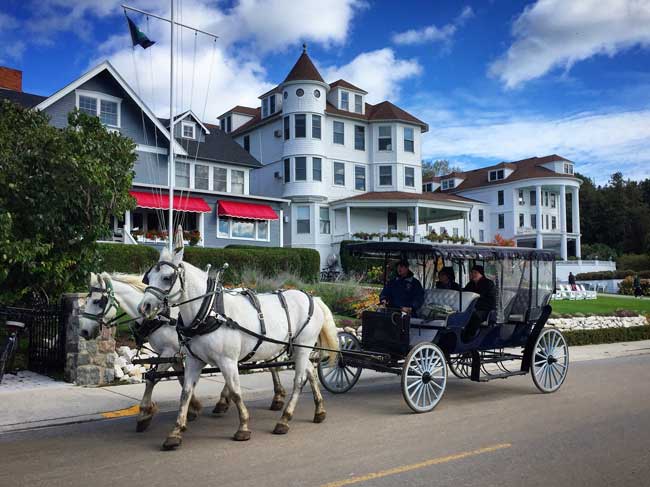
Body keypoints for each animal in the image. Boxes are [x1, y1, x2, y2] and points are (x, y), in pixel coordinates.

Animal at [78, 272, 286, 432]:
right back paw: (228, 401)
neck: (160, 316)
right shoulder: (175, 354)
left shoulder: (169, 350)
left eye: (97, 301)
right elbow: (181, 379)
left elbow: (152, 378)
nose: (83, 332)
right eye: (86, 300)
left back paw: (275, 397)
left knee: (268, 364)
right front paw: (193, 408)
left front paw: (145, 414)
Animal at [137, 246, 340, 452]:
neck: (209, 312)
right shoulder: (194, 360)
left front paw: (243, 426)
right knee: (310, 372)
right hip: (300, 349)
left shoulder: (227, 360)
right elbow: (185, 392)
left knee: (299, 380)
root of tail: (312, 297)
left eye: (167, 277)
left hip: (303, 346)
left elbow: (235, 391)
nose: (144, 307)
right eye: (148, 277)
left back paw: (284, 419)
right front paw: (175, 432)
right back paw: (319, 410)